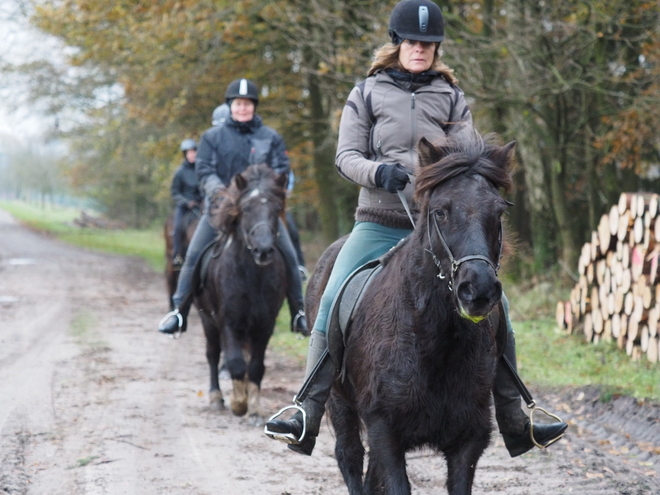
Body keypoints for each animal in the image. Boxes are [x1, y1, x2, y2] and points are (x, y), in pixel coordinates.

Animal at [196, 164, 288, 426]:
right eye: (246, 208)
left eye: (276, 209)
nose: (263, 250)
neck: (251, 276)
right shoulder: (228, 322)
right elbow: (236, 364)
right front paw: (239, 404)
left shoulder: (265, 325)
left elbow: (255, 366)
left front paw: (255, 409)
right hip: (207, 321)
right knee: (213, 355)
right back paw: (216, 398)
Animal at [306, 136, 516, 495]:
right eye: (440, 211)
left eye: (498, 211)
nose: (478, 290)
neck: (435, 343)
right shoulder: (384, 429)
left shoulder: (468, 440)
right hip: (338, 400)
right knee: (349, 456)